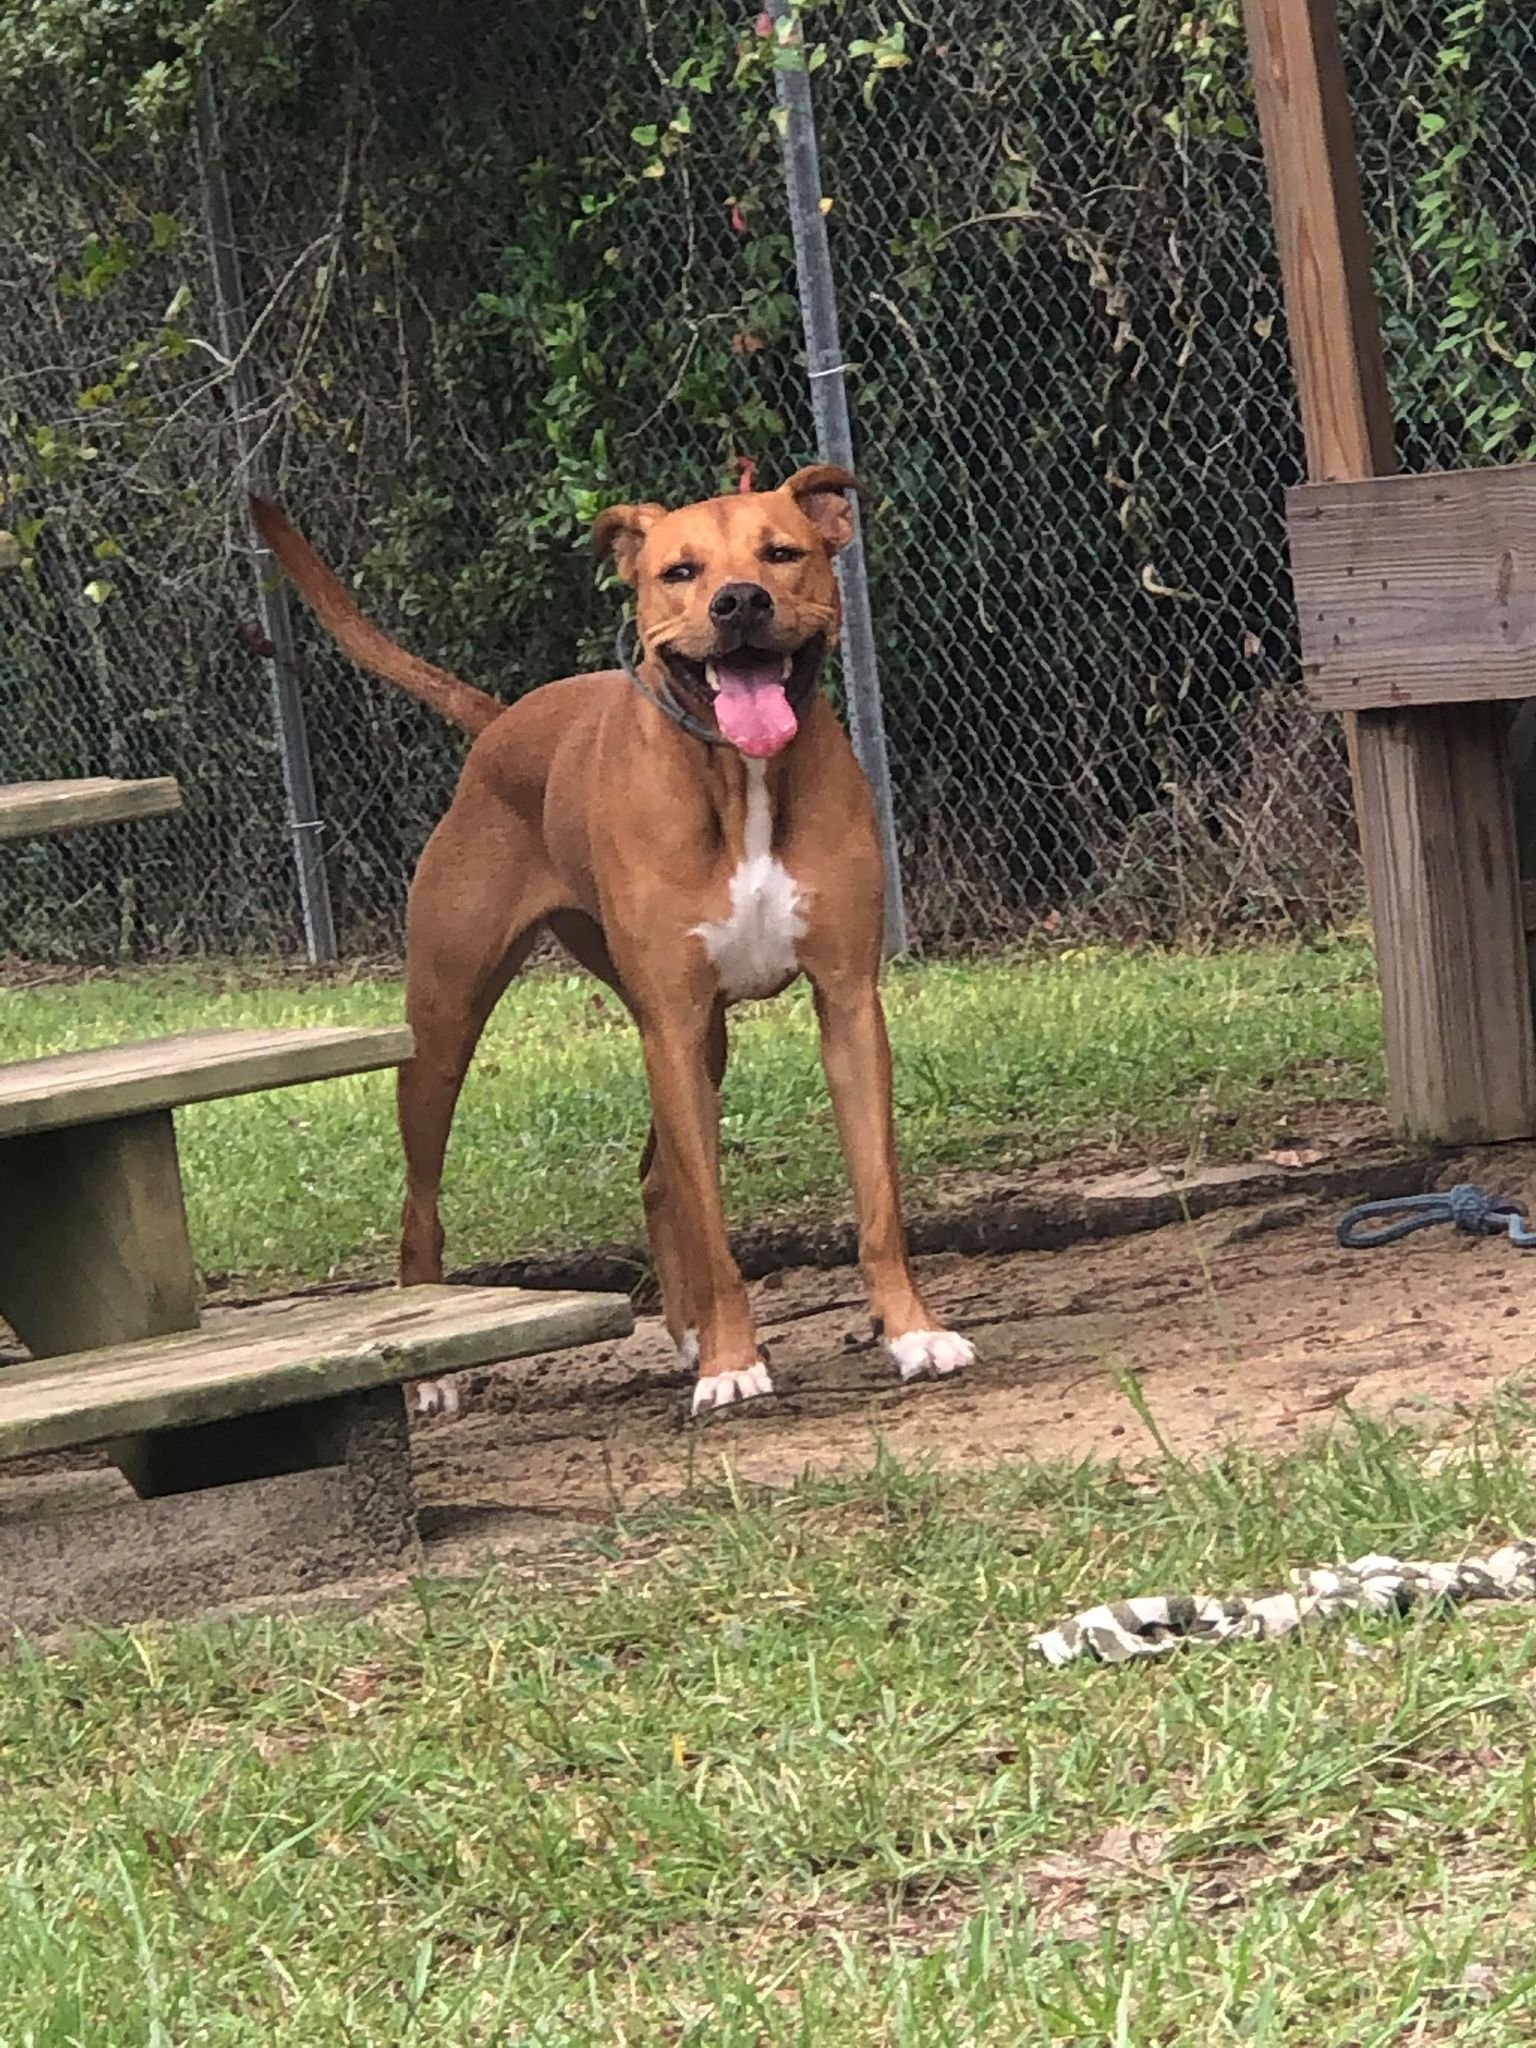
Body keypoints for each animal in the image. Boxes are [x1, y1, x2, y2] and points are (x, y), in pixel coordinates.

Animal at [252, 471, 974, 1417]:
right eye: (680, 571)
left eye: (782, 553)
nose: (740, 602)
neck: (740, 780)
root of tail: (501, 723)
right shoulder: (669, 1021)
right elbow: (711, 1222)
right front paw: (732, 1364)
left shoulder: (846, 1005)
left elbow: (878, 1200)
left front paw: (911, 1332)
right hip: (444, 1026)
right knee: (422, 1203)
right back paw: (432, 1373)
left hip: (699, 1038)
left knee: (657, 1177)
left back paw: (688, 1331)